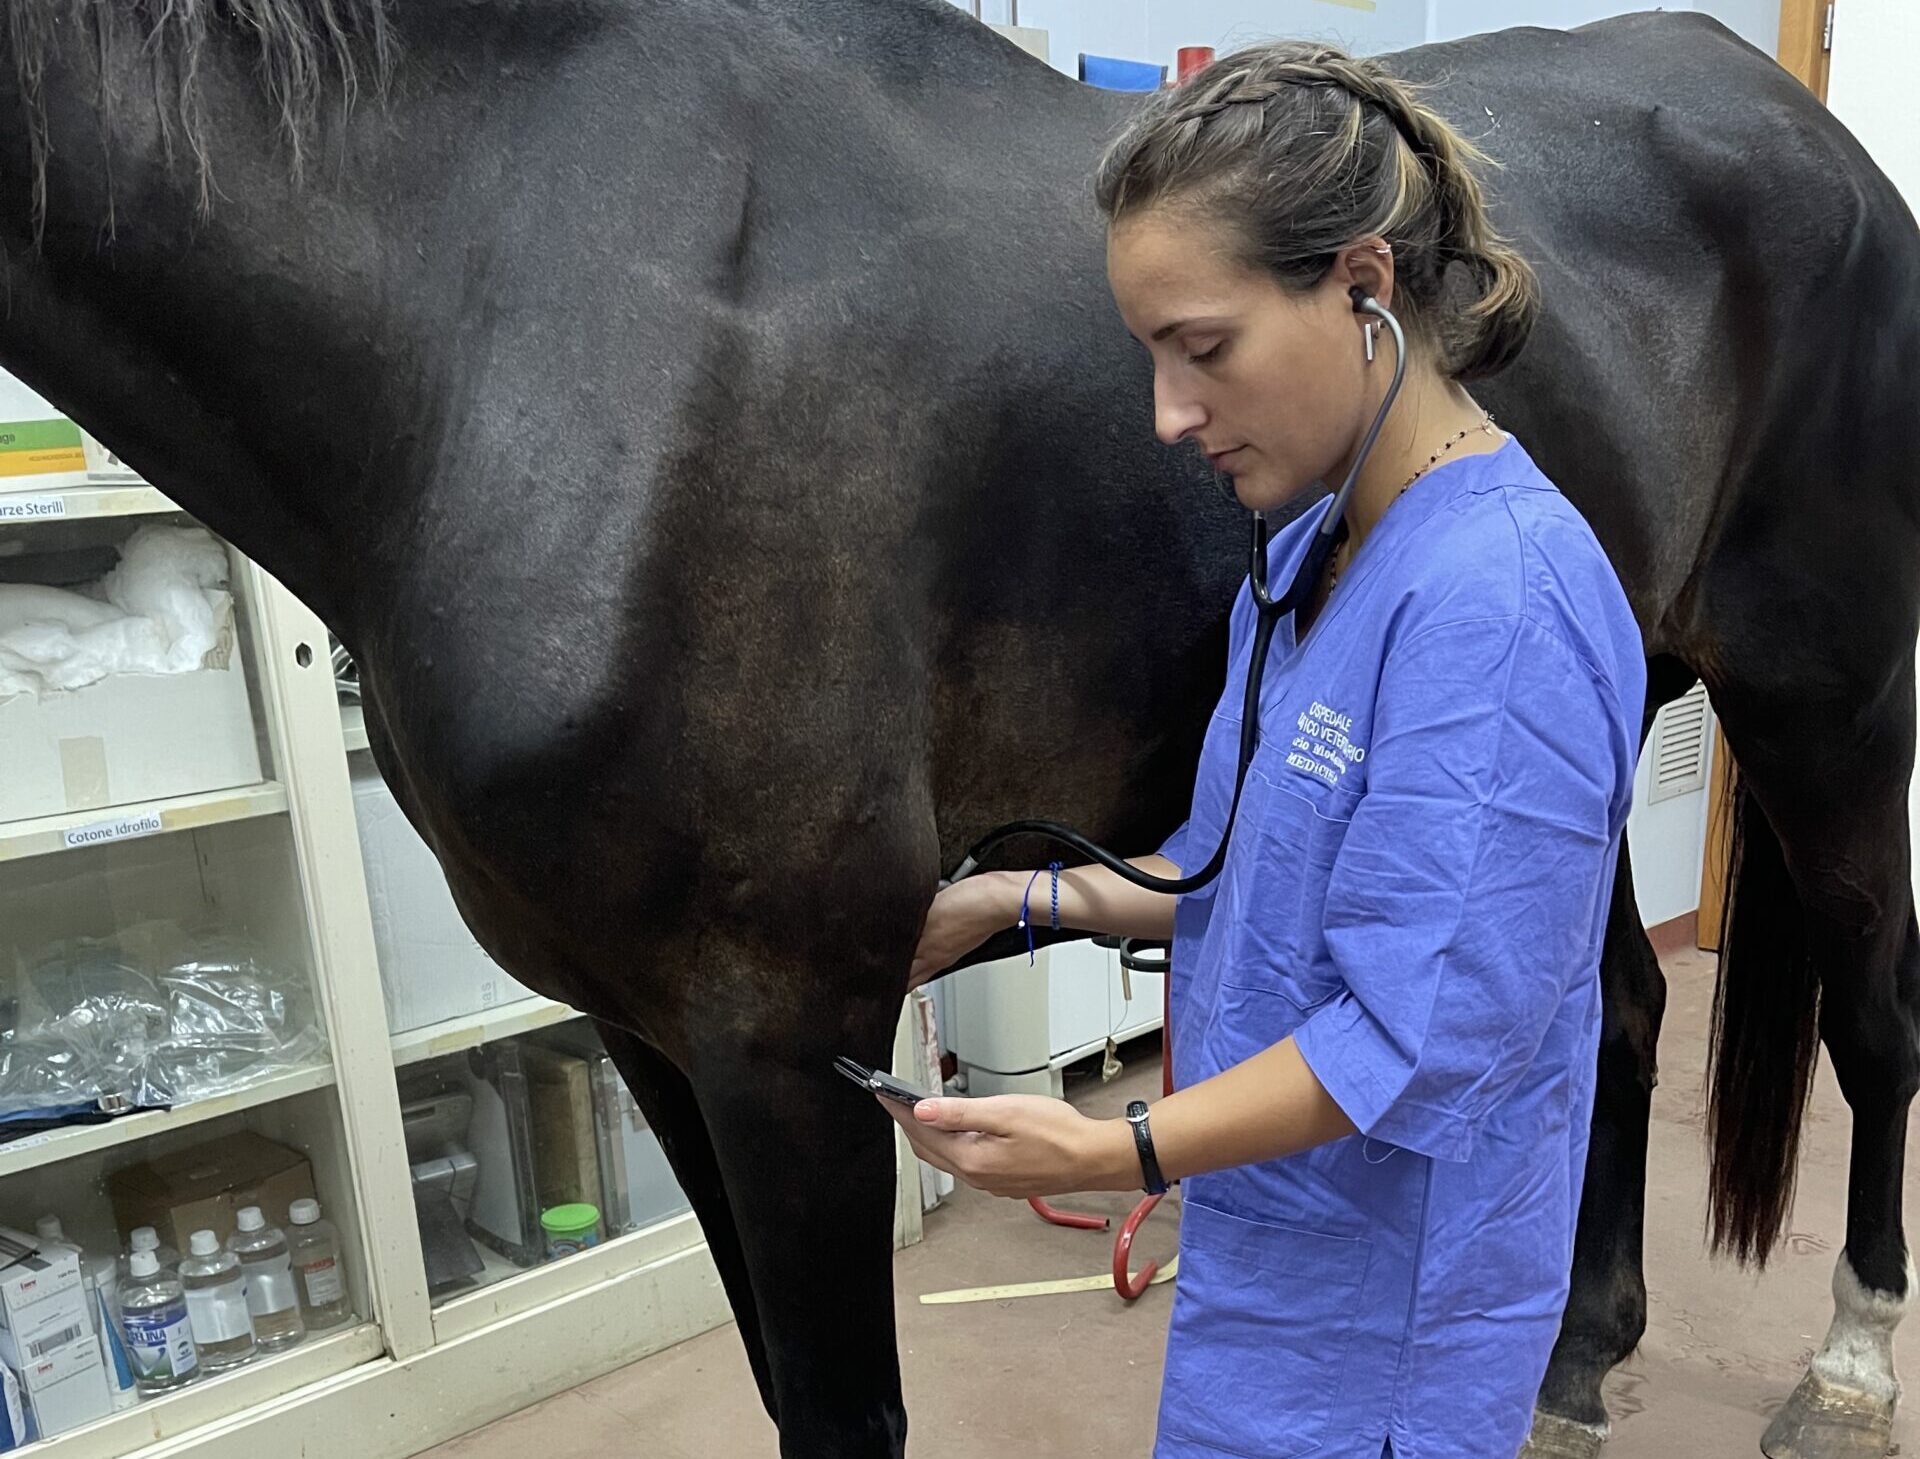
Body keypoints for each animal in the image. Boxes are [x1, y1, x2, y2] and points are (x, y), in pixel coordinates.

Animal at [1, 3, 1916, 1455]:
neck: (498, 313)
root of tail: (1805, 137)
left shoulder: (786, 1036)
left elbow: (848, 1418)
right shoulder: (650, 1030)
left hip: (1822, 695)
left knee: (1871, 1012)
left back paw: (1846, 1362)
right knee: (1618, 1007)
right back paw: (1574, 1358)